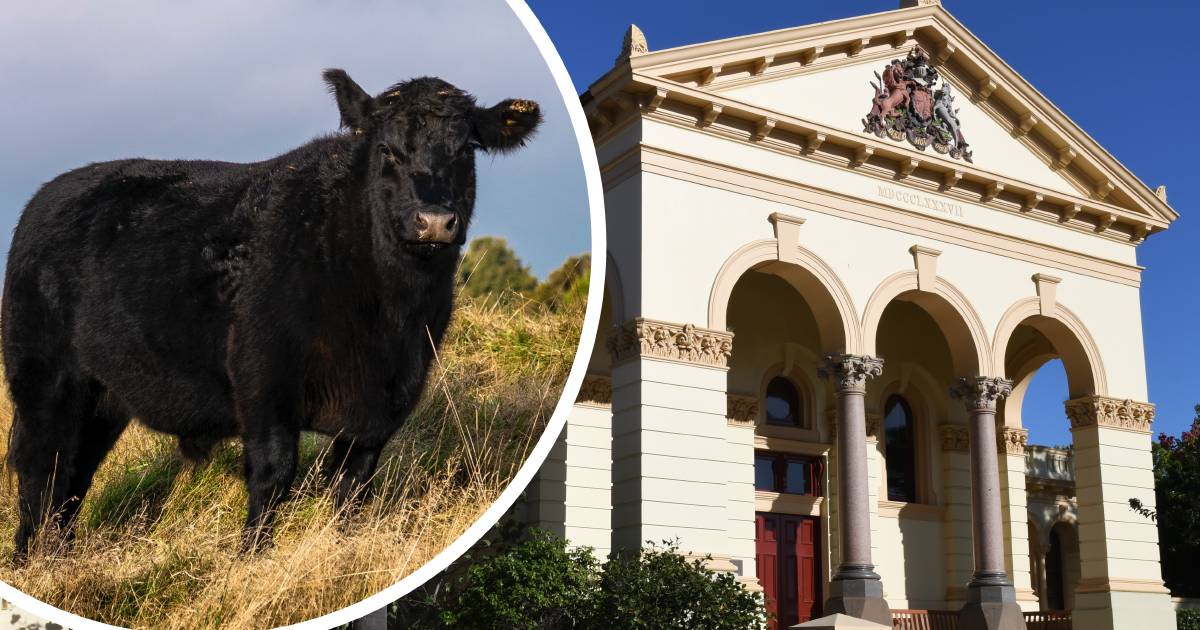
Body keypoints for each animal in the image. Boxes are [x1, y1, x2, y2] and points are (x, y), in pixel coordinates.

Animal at [0, 68, 542, 556]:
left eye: (466, 149)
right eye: (387, 150)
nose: (433, 221)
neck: (386, 317)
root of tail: (48, 195)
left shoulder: (387, 402)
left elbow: (353, 490)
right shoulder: (264, 380)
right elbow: (273, 475)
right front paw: (249, 558)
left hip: (105, 395)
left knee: (75, 474)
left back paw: (56, 554)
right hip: (45, 377)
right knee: (41, 464)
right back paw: (35, 558)